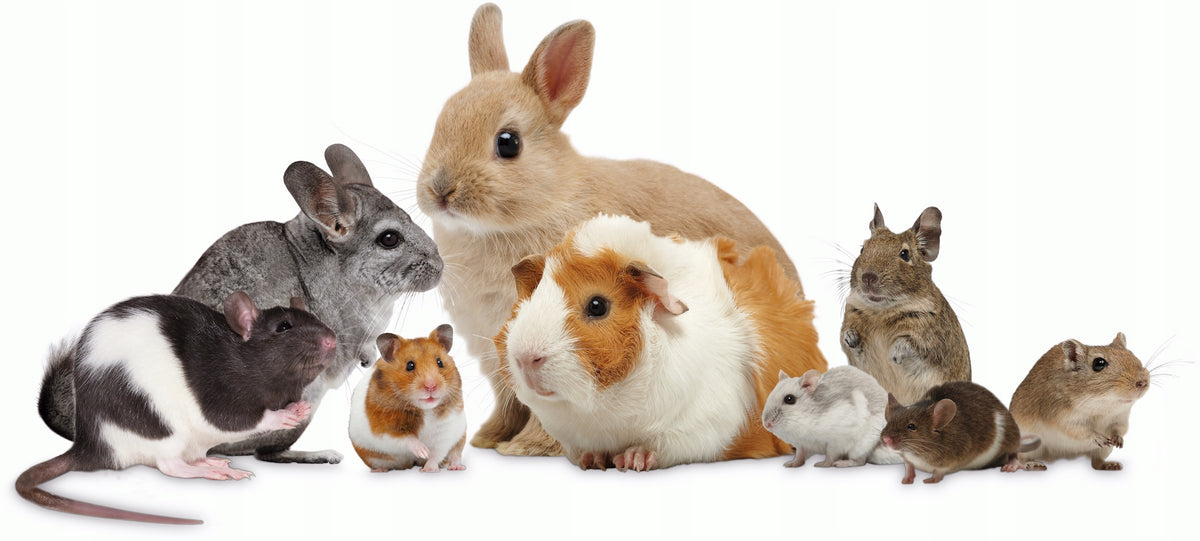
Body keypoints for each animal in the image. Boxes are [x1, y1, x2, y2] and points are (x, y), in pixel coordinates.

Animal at [416, 3, 798, 457]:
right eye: (440, 123)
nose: (440, 189)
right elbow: (509, 401)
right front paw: (488, 438)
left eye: (508, 143)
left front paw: (524, 448)